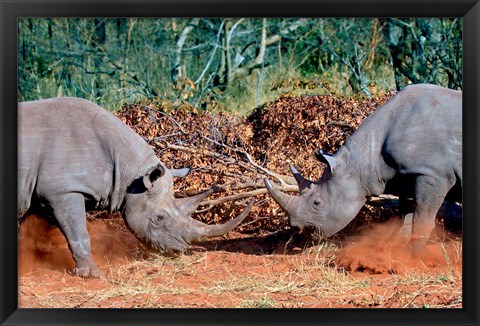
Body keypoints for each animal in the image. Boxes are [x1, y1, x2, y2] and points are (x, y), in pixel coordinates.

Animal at [17, 97, 255, 278]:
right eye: (159, 218)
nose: (179, 250)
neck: (131, 173)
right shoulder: (64, 190)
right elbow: (78, 231)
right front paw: (91, 275)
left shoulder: (44, 190)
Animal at [264, 84, 464, 252]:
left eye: (317, 203)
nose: (296, 226)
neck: (364, 158)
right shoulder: (406, 174)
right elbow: (406, 216)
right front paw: (396, 253)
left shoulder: (433, 173)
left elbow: (422, 218)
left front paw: (414, 258)